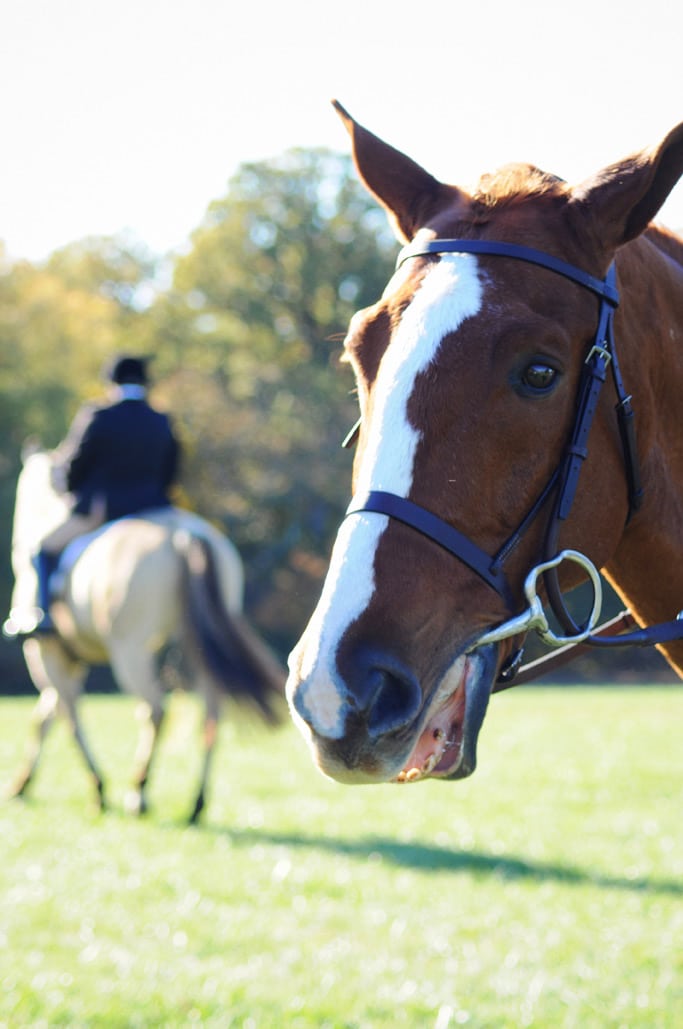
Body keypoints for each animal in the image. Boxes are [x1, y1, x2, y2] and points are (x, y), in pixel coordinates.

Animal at [6, 448, 281, 819]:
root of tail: (182, 532)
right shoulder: (67, 659)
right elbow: (45, 717)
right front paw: (22, 784)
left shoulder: (45, 652)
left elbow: (67, 714)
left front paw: (98, 787)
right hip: (193, 645)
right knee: (211, 713)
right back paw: (196, 803)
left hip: (130, 649)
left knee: (153, 710)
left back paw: (138, 792)